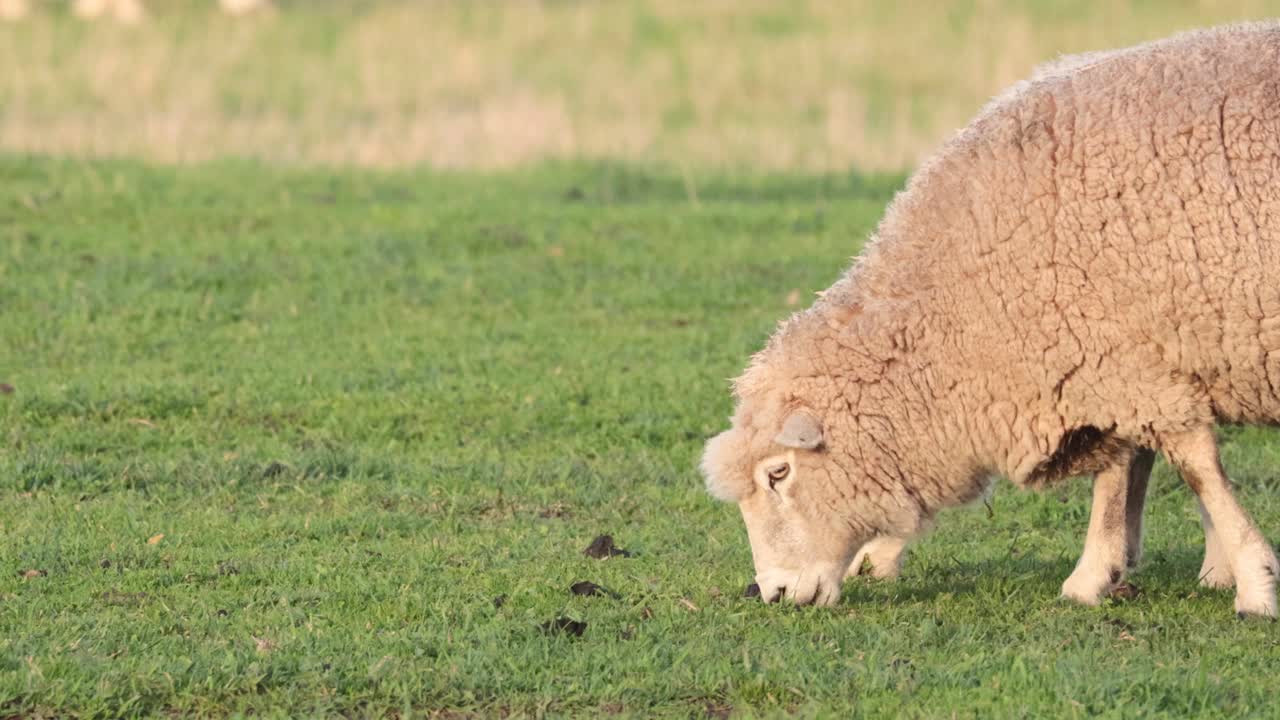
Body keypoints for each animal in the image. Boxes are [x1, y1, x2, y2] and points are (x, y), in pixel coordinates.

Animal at [706, 22, 1280, 617]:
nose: (771, 592)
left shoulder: (1120, 359)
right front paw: (1113, 570)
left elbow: (1192, 468)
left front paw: (1253, 583)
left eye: (778, 473)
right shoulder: (1113, 356)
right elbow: (1125, 466)